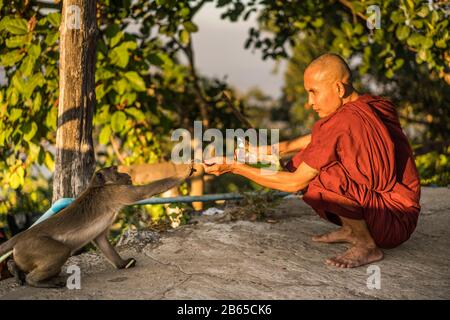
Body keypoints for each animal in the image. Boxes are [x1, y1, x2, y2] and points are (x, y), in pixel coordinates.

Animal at [0, 164, 192, 288]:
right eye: (115, 170)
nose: (125, 173)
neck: (98, 186)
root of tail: (20, 236)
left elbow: (101, 240)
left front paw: (122, 264)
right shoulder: (114, 192)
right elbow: (143, 192)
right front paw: (186, 171)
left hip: (24, 252)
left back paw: (14, 268)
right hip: (33, 246)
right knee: (62, 251)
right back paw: (35, 280)